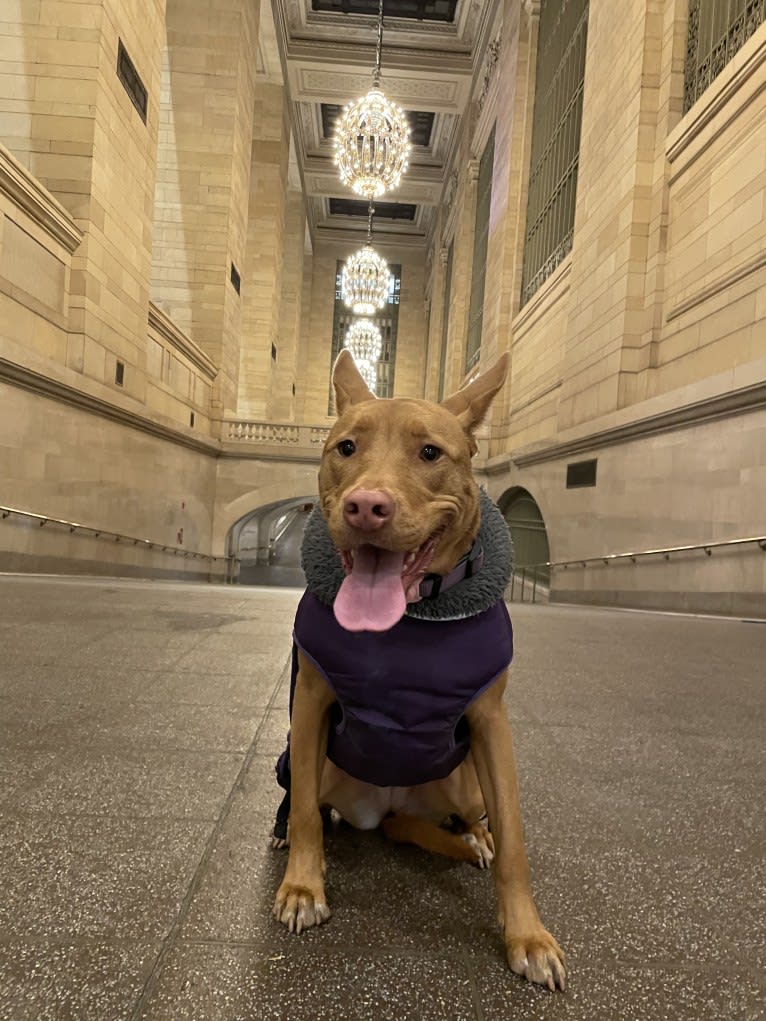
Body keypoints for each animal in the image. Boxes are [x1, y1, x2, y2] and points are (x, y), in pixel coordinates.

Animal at [273, 351, 567, 988]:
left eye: (430, 452)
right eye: (346, 447)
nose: (366, 506)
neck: (405, 624)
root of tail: (388, 808)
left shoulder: (491, 723)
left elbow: (515, 842)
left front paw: (527, 935)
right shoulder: (310, 702)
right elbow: (306, 812)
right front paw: (304, 887)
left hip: (465, 781)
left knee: (471, 819)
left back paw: (474, 836)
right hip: (319, 765)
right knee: (308, 801)